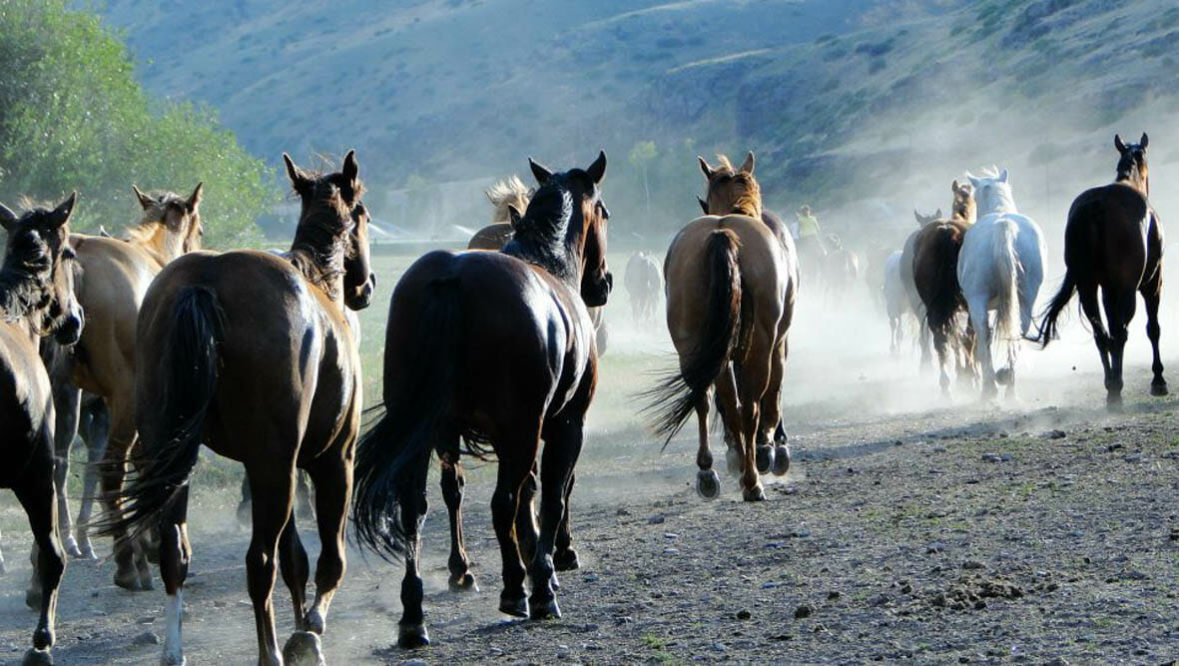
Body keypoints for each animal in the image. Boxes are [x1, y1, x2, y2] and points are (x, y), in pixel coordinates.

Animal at [103, 150, 375, 666]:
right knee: (259, 561)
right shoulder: (332, 460)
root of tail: (206, 283)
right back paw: (270, 651)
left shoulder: (271, 464)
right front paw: (309, 629)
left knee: (177, 554)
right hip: (277, 469)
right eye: (364, 215)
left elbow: (296, 559)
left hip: (179, 458)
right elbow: (328, 559)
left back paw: (174, 649)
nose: (366, 287)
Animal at [352, 152, 611, 649]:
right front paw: (543, 578)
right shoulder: (563, 425)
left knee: (414, 508)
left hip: (426, 432)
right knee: (502, 501)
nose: (603, 284)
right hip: (521, 430)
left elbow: (529, 496)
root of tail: (451, 278)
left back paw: (414, 616)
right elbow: (550, 496)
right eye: (604, 213)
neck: (546, 262)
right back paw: (517, 590)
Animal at [649, 152, 797, 502]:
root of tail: (721, 234)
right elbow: (773, 394)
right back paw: (753, 478)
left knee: (707, 400)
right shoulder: (779, 343)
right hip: (760, 345)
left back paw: (709, 472)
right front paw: (772, 448)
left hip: (692, 345)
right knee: (750, 405)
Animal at [958, 167, 1046, 398]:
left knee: (983, 335)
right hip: (1024, 301)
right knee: (1017, 331)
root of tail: (1004, 227)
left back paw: (990, 387)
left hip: (977, 301)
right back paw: (1009, 384)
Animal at [1039, 133, 1166, 406]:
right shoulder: (1153, 284)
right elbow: (1153, 328)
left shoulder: (1108, 290)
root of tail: (1097, 206)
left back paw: (1110, 385)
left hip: (1087, 288)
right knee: (1119, 333)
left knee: (1101, 335)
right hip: (1128, 290)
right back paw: (1116, 388)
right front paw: (1158, 379)